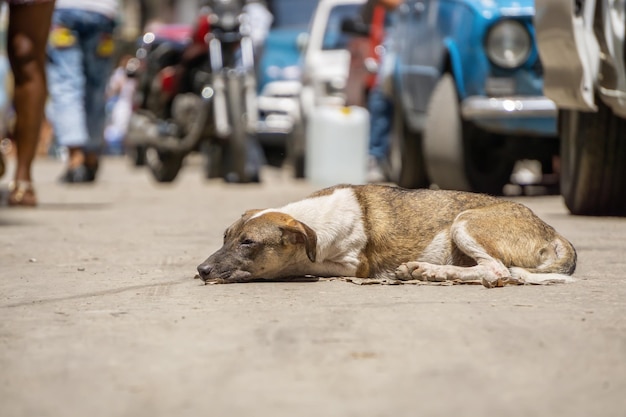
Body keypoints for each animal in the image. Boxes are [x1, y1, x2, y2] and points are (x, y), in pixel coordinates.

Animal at [196, 184, 576, 288]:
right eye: (225, 237)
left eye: (249, 243)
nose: (201, 270)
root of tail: (552, 230)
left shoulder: (354, 266)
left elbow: (302, 266)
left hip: (465, 222)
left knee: (498, 271)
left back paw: (429, 270)